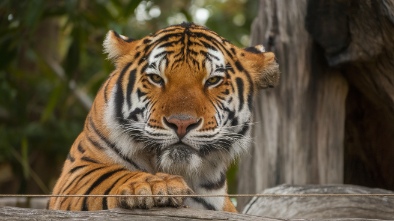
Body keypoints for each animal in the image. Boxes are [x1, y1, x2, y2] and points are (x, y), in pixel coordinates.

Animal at [47, 22, 278, 212]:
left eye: (213, 80)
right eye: (156, 78)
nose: (182, 123)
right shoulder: (78, 171)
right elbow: (109, 175)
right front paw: (153, 186)